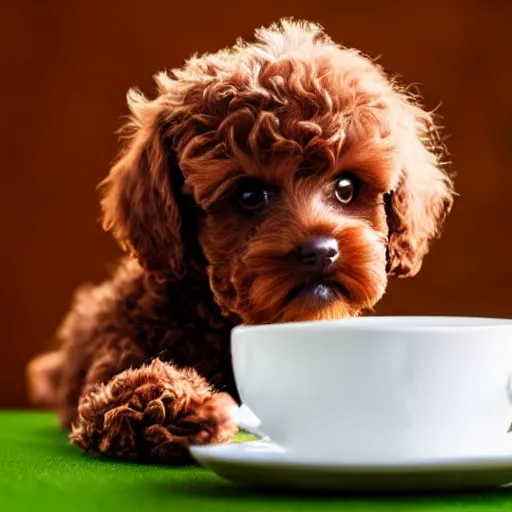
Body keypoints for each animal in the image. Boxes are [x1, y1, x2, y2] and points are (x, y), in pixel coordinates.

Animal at [26, 19, 454, 464]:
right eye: (249, 195)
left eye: (347, 188)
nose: (320, 251)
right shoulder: (114, 359)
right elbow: (121, 397)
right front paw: (185, 406)